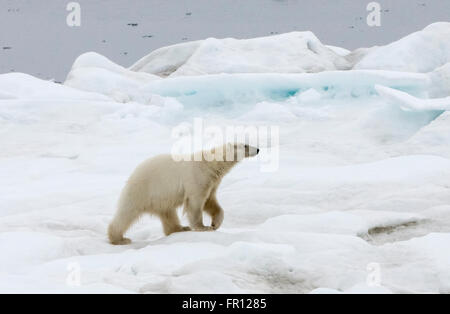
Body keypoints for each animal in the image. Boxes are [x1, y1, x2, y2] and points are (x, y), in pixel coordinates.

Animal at [107, 143, 258, 245]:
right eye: (245, 145)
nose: (257, 149)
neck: (210, 163)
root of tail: (133, 173)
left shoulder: (212, 182)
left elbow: (210, 201)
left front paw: (215, 223)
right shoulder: (197, 177)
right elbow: (196, 202)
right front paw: (203, 227)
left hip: (161, 199)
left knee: (168, 213)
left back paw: (180, 228)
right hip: (143, 189)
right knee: (127, 212)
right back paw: (119, 238)